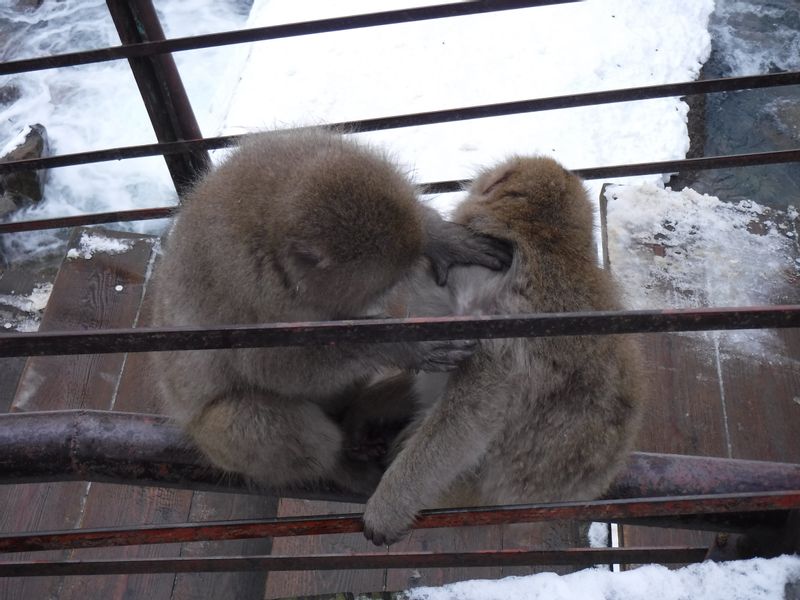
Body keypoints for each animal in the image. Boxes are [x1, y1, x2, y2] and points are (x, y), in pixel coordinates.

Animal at [150, 129, 512, 494]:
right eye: (384, 286)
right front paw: (403, 346)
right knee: (250, 420)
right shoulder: (252, 295)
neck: (272, 213)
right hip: (216, 444)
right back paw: (341, 466)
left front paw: (439, 238)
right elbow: (274, 368)